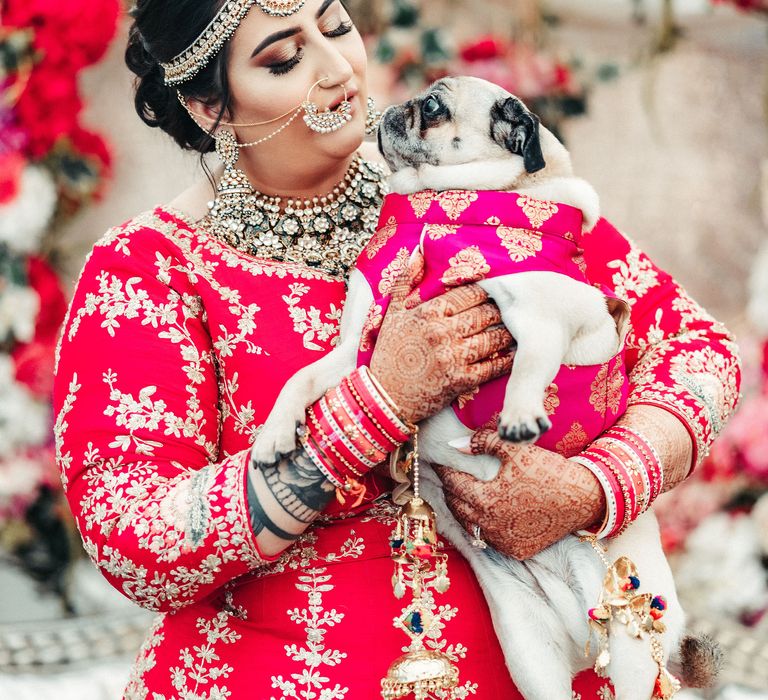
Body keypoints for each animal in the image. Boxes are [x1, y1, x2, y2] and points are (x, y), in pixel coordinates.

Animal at [255, 75, 716, 696]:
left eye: (433, 106)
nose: (397, 106)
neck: (438, 210)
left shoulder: (545, 313)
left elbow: (532, 362)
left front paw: (520, 414)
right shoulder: (359, 352)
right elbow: (301, 381)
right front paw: (274, 436)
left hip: (634, 648)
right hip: (529, 652)